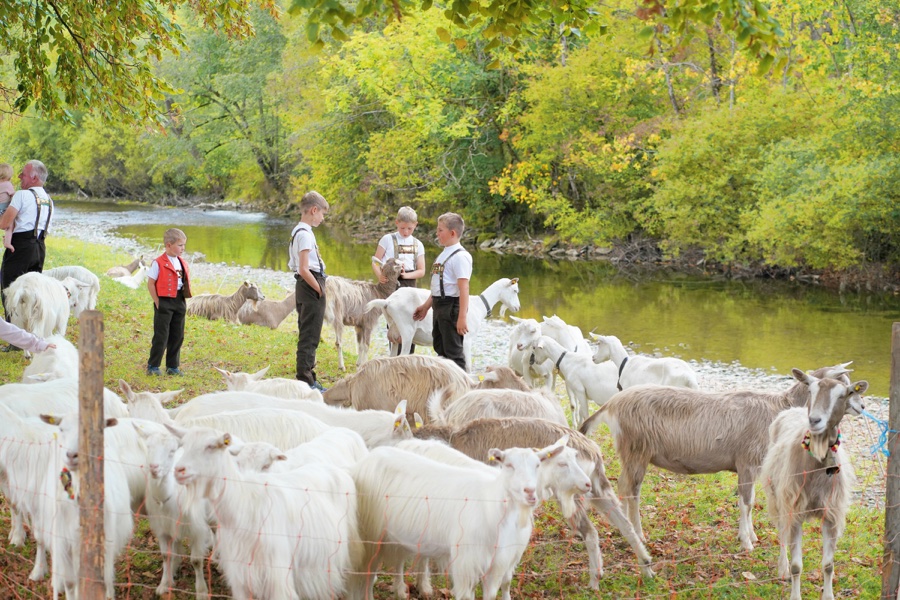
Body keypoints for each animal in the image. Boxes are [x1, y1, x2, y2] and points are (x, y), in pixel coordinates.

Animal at [579, 362, 854, 551]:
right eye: (840, 389)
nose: (860, 406)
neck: (778, 407)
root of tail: (613, 403)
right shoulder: (747, 462)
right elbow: (747, 502)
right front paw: (747, 542)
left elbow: (748, 501)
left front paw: (750, 536)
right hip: (636, 449)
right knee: (631, 490)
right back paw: (638, 533)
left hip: (631, 452)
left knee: (624, 487)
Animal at [761, 370, 867, 600]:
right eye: (810, 390)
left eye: (843, 394)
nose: (815, 420)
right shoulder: (795, 510)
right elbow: (796, 566)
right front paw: (794, 593)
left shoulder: (831, 514)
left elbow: (828, 565)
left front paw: (828, 596)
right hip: (778, 496)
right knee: (782, 532)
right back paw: (782, 569)